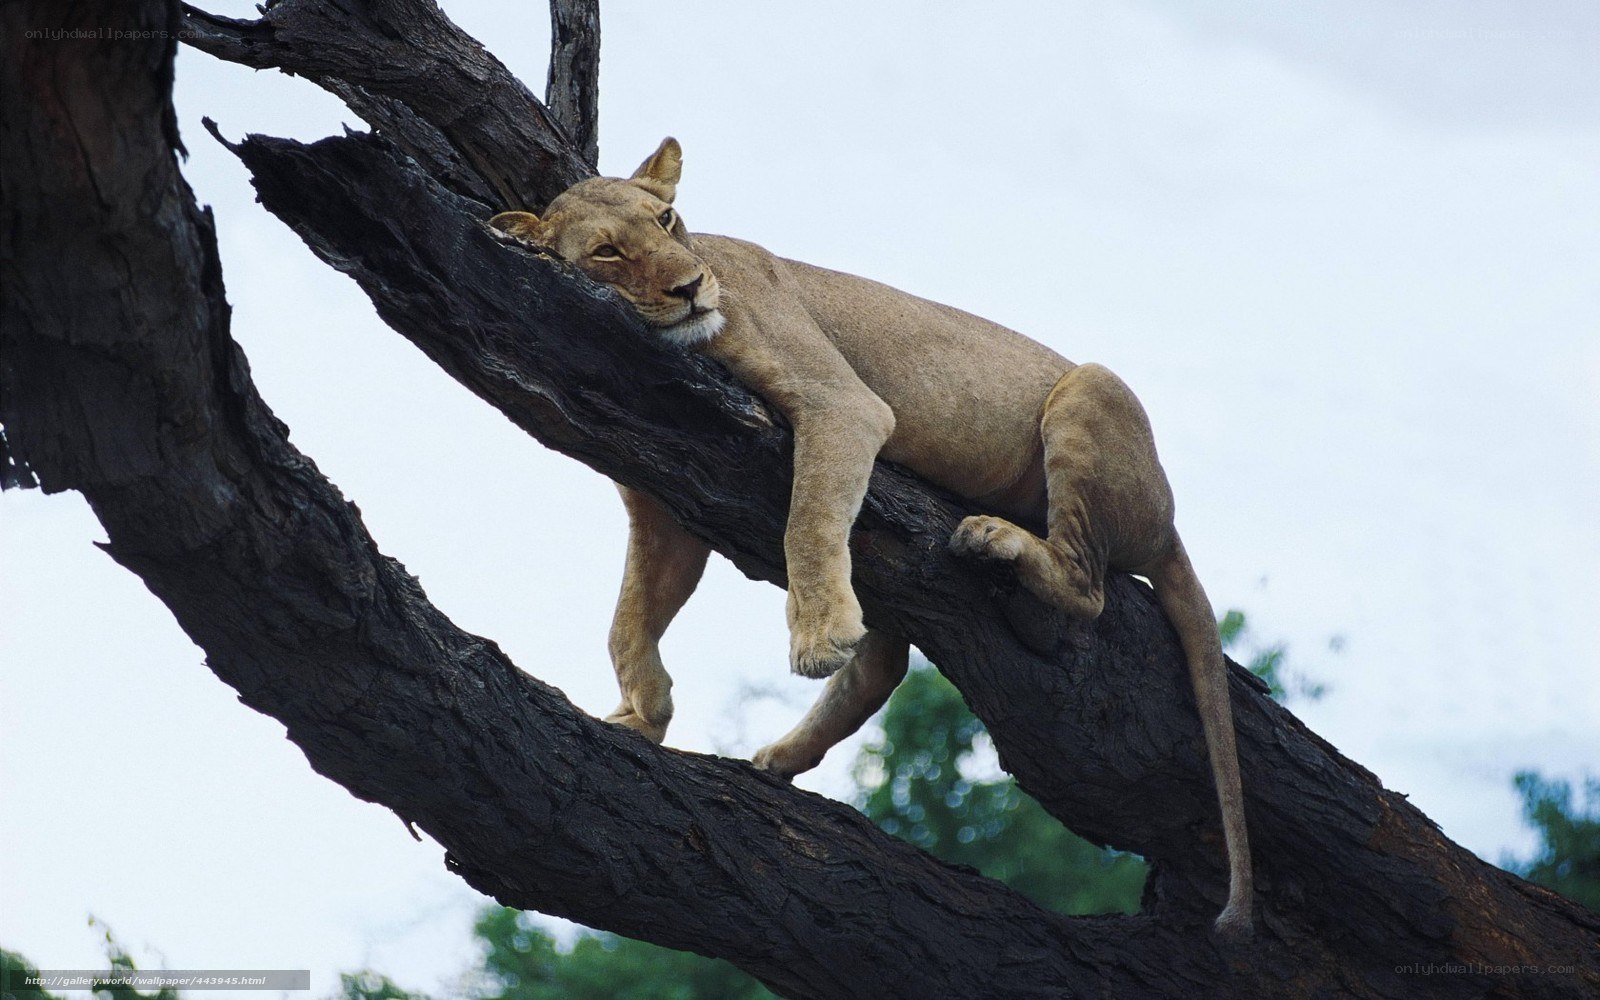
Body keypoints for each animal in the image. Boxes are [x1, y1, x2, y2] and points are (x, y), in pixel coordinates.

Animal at [489, 138, 1254, 936]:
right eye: (608, 252)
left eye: (666, 219)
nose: (692, 287)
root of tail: (1169, 520)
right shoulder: (663, 512)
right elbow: (627, 617)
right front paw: (644, 712)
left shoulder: (842, 404)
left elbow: (807, 520)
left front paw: (816, 635)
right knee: (885, 664)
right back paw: (781, 756)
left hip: (1091, 390)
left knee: (1089, 588)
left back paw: (992, 539)